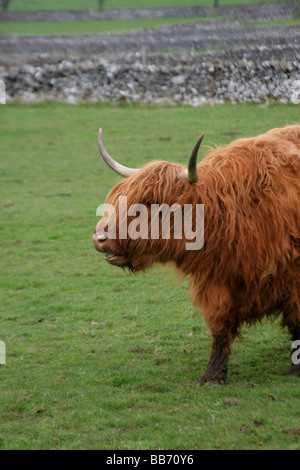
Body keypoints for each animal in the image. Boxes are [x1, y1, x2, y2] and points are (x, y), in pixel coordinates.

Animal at [94, 123, 300, 384]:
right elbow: (220, 327)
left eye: (151, 202)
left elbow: (297, 323)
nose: (100, 237)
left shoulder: (294, 281)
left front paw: (296, 369)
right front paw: (213, 375)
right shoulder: (216, 282)